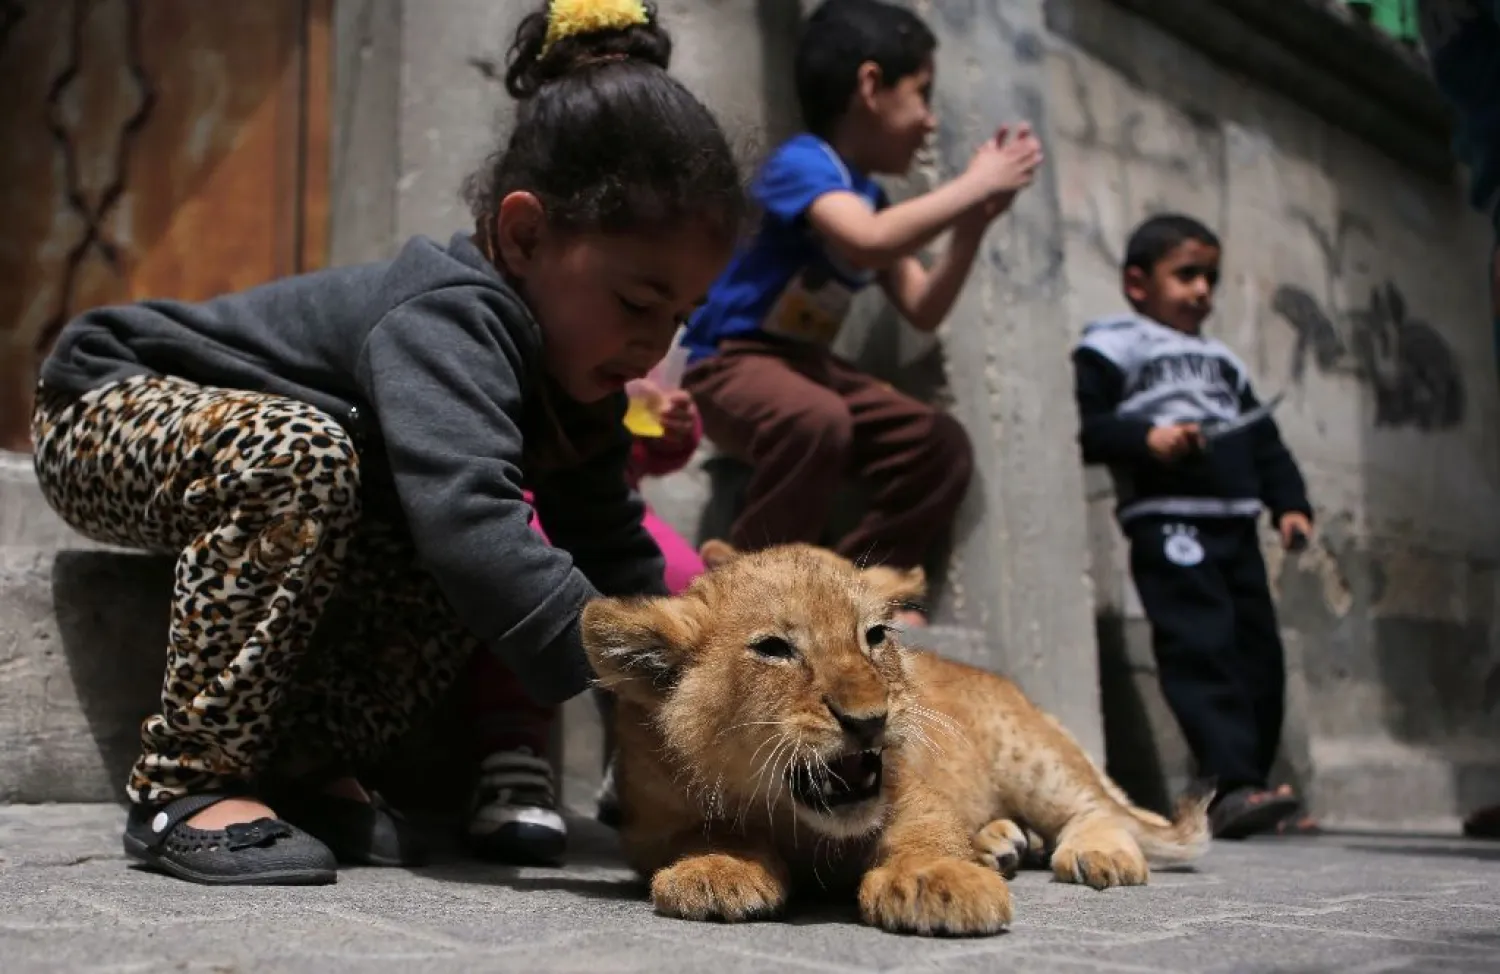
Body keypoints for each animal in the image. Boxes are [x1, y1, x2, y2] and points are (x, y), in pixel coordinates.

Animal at [580, 541, 1212, 936]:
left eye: (875, 635)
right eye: (774, 649)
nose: (868, 718)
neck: (800, 823)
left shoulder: (910, 789)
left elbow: (925, 833)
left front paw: (935, 880)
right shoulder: (649, 823)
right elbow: (704, 830)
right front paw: (720, 867)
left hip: (1031, 756)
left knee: (1097, 808)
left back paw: (1095, 852)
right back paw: (1001, 842)